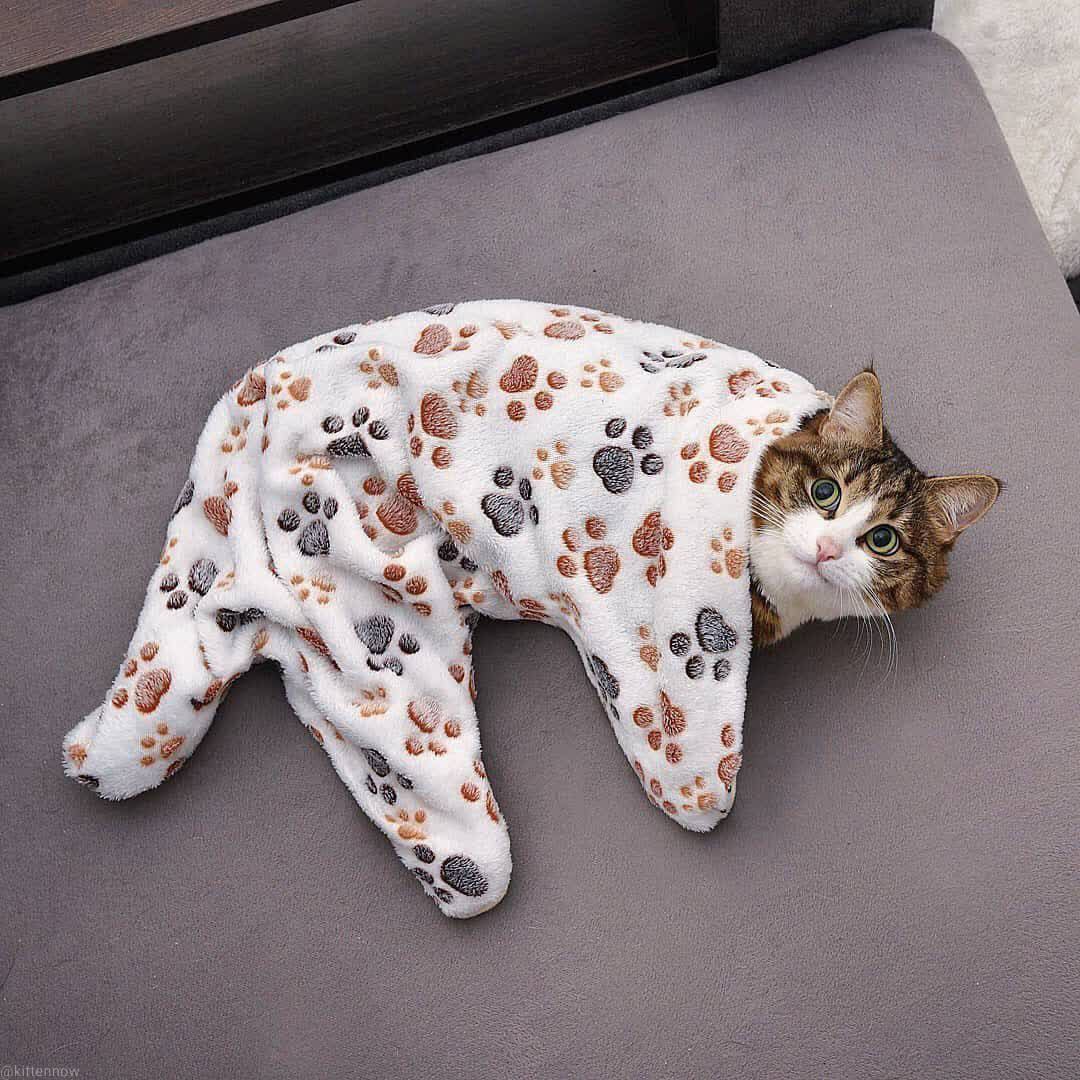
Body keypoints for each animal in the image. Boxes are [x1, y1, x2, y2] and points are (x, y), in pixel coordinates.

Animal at [62, 301, 998, 917]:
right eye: (824, 491)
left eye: (884, 540)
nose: (830, 547)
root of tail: (256, 392)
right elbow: (687, 750)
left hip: (367, 634)